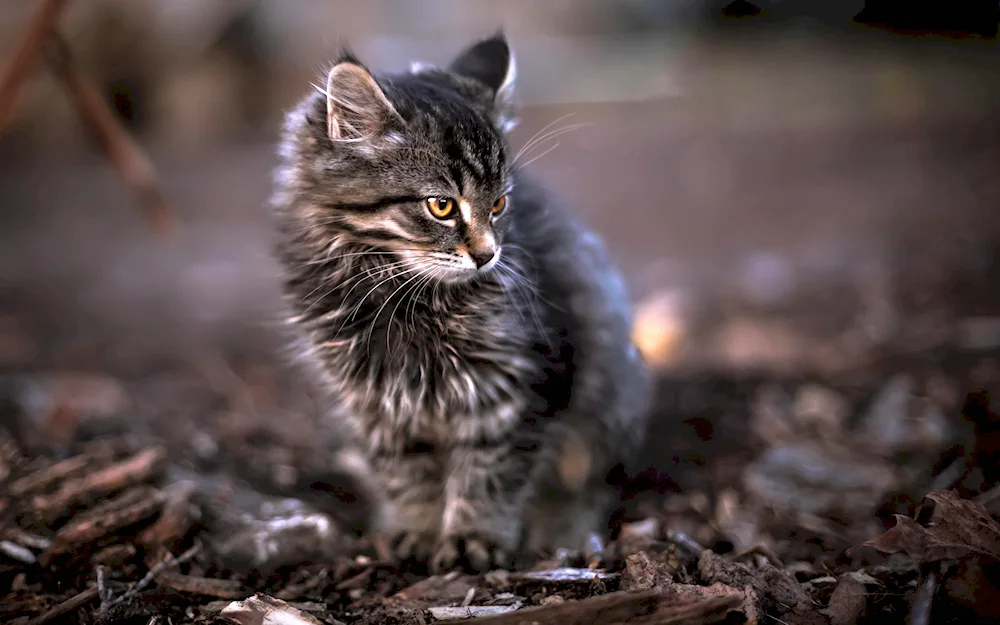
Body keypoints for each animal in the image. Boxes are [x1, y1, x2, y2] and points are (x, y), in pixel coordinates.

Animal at [270, 33, 652, 572]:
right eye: (442, 206)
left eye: (499, 205)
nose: (488, 255)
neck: (402, 296)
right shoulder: (377, 404)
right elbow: (407, 476)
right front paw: (418, 531)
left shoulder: (517, 383)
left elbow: (489, 472)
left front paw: (474, 537)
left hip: (612, 404)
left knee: (591, 485)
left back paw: (562, 531)